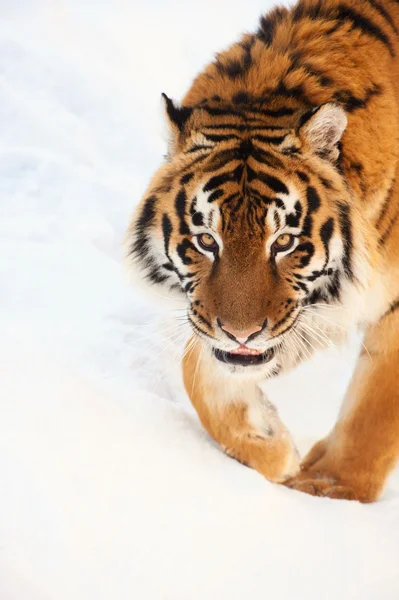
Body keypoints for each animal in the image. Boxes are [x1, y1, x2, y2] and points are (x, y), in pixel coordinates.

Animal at [126, 0, 399, 502]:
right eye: (207, 240)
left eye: (284, 242)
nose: (241, 334)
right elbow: (200, 370)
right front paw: (270, 444)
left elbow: (375, 409)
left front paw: (331, 491)